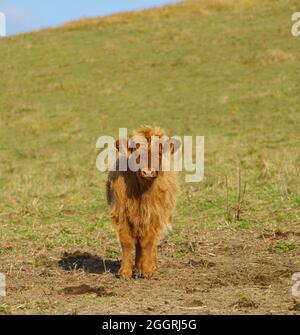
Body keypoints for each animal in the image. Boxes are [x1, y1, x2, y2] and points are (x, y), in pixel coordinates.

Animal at [106, 126, 179, 278]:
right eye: (136, 152)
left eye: (159, 152)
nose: (149, 172)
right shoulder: (121, 214)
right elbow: (127, 242)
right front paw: (125, 272)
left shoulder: (154, 216)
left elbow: (148, 242)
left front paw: (146, 270)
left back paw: (150, 266)